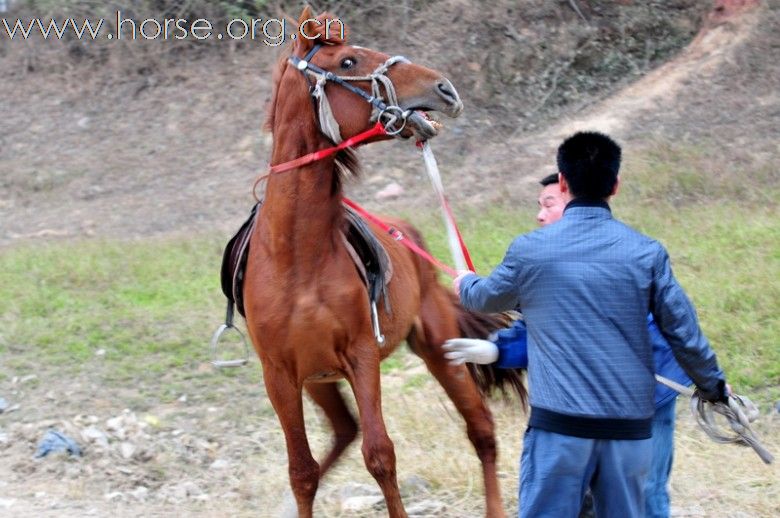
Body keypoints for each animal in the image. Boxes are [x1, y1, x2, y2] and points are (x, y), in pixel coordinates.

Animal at [244, 8, 524, 518]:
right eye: (348, 60)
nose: (444, 88)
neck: (296, 258)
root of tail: (406, 230)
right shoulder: (280, 375)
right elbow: (302, 472)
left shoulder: (361, 357)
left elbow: (380, 455)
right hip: (319, 382)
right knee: (342, 433)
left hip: (440, 348)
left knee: (481, 429)